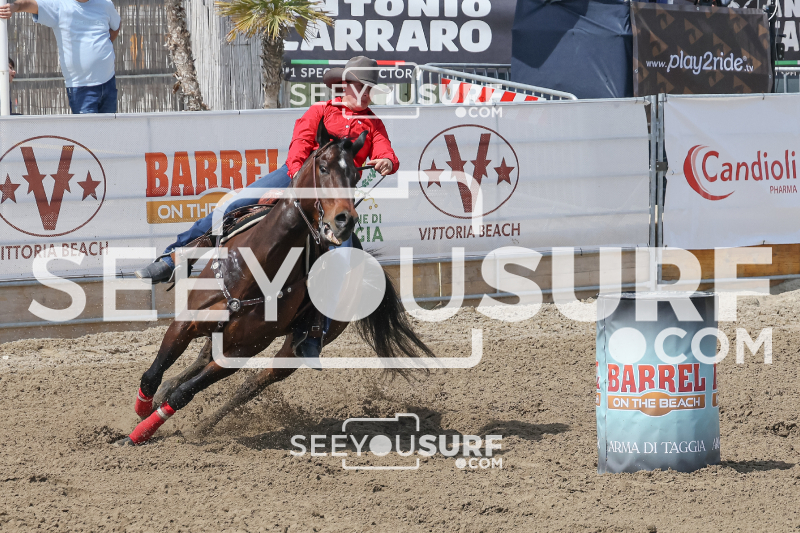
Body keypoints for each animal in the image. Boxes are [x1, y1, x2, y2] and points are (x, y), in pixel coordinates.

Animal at [116, 121, 433, 446]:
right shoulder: (185, 322)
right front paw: (142, 410)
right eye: (323, 167)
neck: (253, 268)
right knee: (202, 358)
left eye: (356, 176)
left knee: (252, 384)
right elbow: (152, 375)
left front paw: (140, 433)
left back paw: (204, 424)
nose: (345, 220)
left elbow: (184, 394)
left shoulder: (240, 352)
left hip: (293, 350)